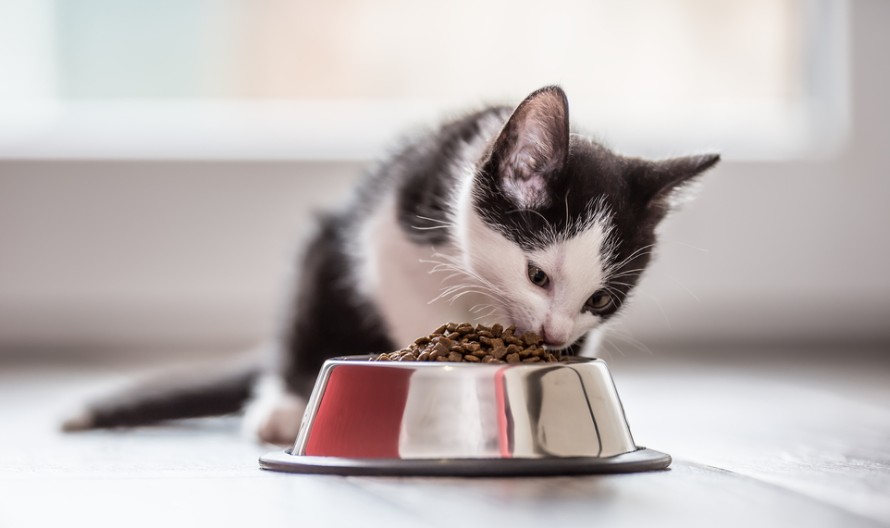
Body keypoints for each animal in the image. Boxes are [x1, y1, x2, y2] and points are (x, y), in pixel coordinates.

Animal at [66, 87, 720, 446]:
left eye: (601, 300)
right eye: (537, 276)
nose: (555, 334)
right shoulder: (387, 234)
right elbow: (410, 304)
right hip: (323, 252)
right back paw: (282, 406)